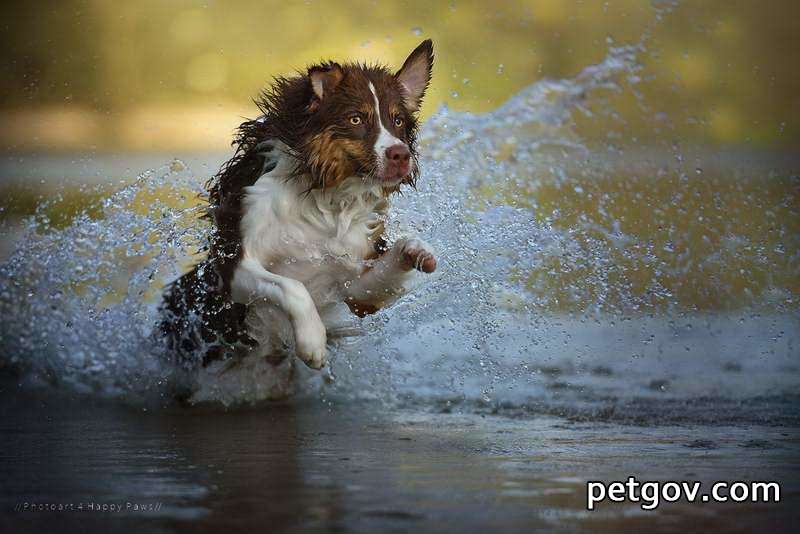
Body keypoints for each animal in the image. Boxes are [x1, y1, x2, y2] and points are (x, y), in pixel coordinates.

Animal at [159, 40, 438, 402]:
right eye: (356, 118)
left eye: (399, 120)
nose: (401, 154)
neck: (324, 199)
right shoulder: (233, 266)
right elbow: (292, 288)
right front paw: (312, 342)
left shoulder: (356, 286)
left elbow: (388, 266)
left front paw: (416, 251)